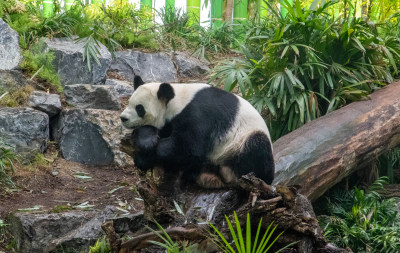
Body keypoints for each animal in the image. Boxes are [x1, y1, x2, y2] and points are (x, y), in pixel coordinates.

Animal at [119, 76, 276, 187]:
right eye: (129, 103)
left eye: (139, 108)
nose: (123, 118)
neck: (177, 100)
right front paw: (146, 142)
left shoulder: (198, 114)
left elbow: (188, 148)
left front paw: (143, 158)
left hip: (242, 142)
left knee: (256, 148)